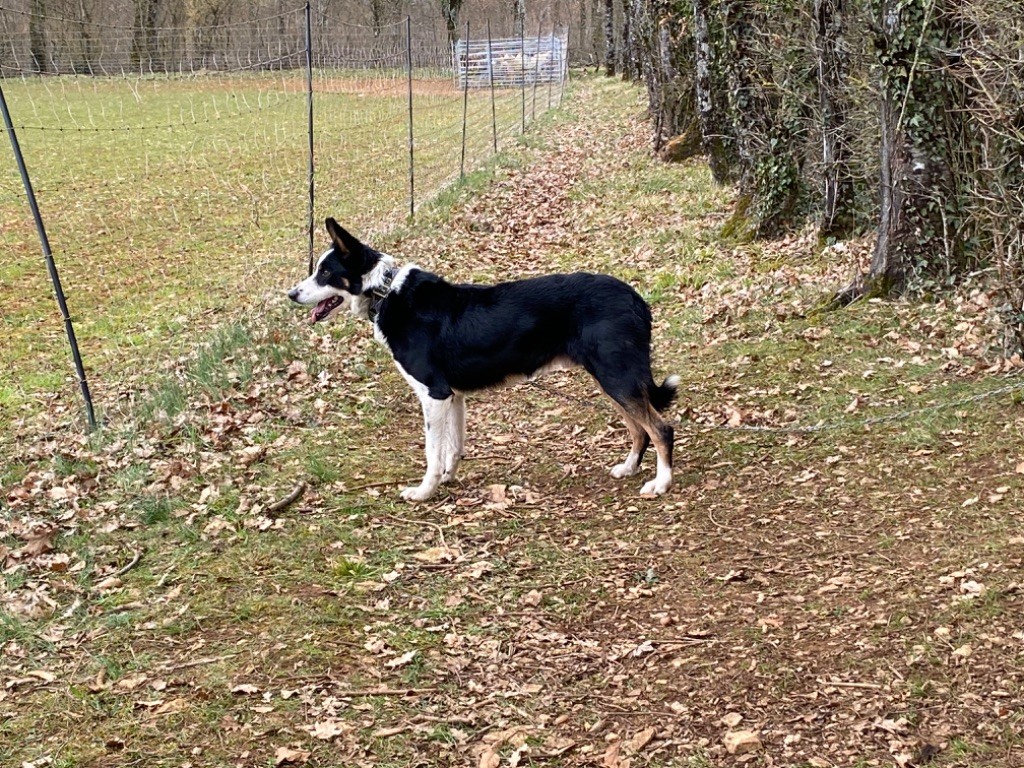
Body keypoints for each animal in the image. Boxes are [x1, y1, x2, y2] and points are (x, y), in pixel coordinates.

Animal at [287, 219, 678, 502]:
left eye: (325, 272)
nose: (291, 294)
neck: (385, 294)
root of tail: (636, 299)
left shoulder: (434, 394)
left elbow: (432, 451)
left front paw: (424, 492)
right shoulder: (453, 396)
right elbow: (454, 447)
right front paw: (448, 479)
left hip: (616, 377)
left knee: (660, 429)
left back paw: (661, 483)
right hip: (612, 380)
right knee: (638, 429)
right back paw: (629, 468)